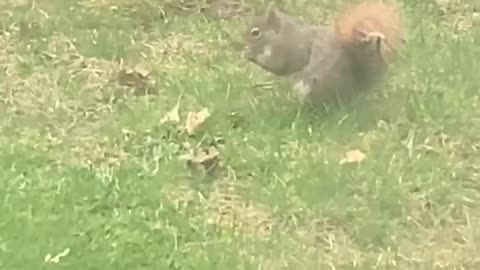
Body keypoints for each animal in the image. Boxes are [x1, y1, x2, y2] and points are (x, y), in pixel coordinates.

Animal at [244, 0, 404, 106]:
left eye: (256, 32)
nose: (242, 42)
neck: (281, 34)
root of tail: (354, 91)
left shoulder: (291, 49)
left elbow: (279, 64)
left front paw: (250, 55)